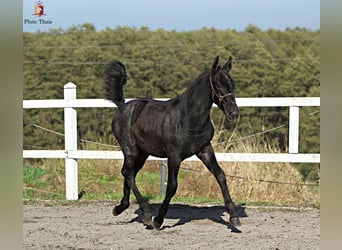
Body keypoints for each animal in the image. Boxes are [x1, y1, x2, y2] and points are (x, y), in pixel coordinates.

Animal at [104, 56, 240, 229]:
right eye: (217, 83)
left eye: (232, 83)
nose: (233, 113)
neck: (189, 118)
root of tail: (122, 106)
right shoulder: (174, 156)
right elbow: (172, 186)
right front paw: (158, 220)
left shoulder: (204, 149)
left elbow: (220, 175)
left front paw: (234, 217)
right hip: (130, 150)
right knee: (128, 173)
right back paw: (146, 214)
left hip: (143, 153)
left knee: (128, 173)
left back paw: (120, 207)